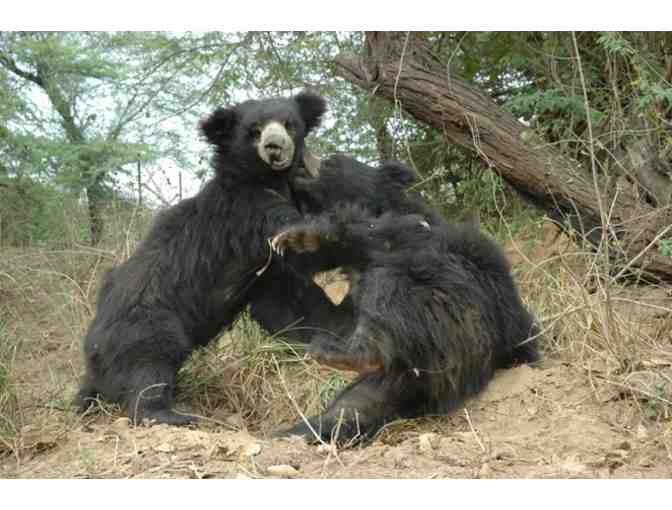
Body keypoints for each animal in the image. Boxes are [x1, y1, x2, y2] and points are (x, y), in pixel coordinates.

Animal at [74, 90, 350, 426]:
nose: (274, 147)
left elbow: (290, 306)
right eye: (254, 130)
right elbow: (300, 245)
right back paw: (173, 416)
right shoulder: (249, 213)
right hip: (146, 327)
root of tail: (92, 350)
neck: (267, 180)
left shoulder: (267, 278)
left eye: (290, 124)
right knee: (148, 370)